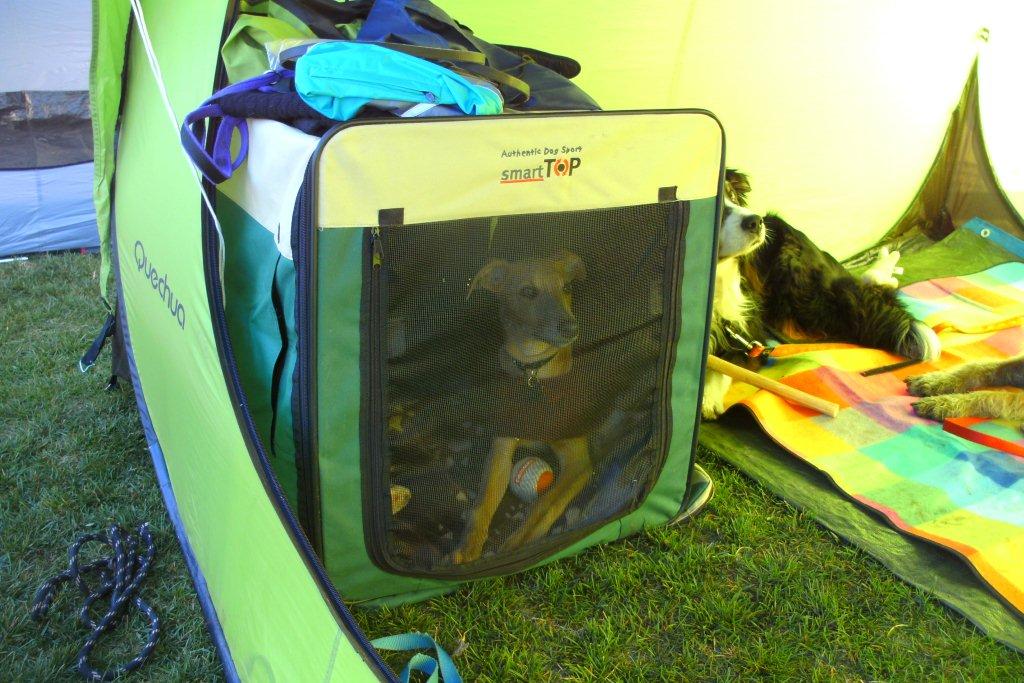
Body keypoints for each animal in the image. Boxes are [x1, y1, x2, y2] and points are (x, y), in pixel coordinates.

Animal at [454, 250, 594, 564]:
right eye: (528, 292)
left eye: (567, 287)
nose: (571, 328)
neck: (534, 371)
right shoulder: (502, 447)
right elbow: (483, 503)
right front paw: (467, 549)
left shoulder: (578, 460)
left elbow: (545, 504)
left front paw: (516, 546)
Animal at [703, 170, 942, 419]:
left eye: (733, 197)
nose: (756, 222)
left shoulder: (748, 330)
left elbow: (725, 364)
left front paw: (708, 398)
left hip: (798, 282)